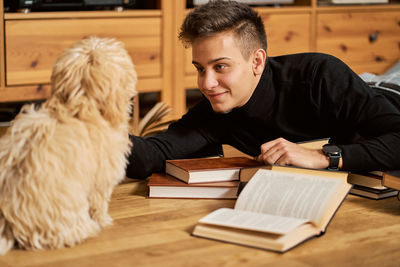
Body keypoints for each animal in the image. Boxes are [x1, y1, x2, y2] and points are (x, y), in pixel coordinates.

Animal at [0, 36, 138, 255]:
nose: (132, 95)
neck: (79, 106)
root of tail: (9, 220)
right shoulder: (102, 176)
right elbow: (99, 201)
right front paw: (104, 219)